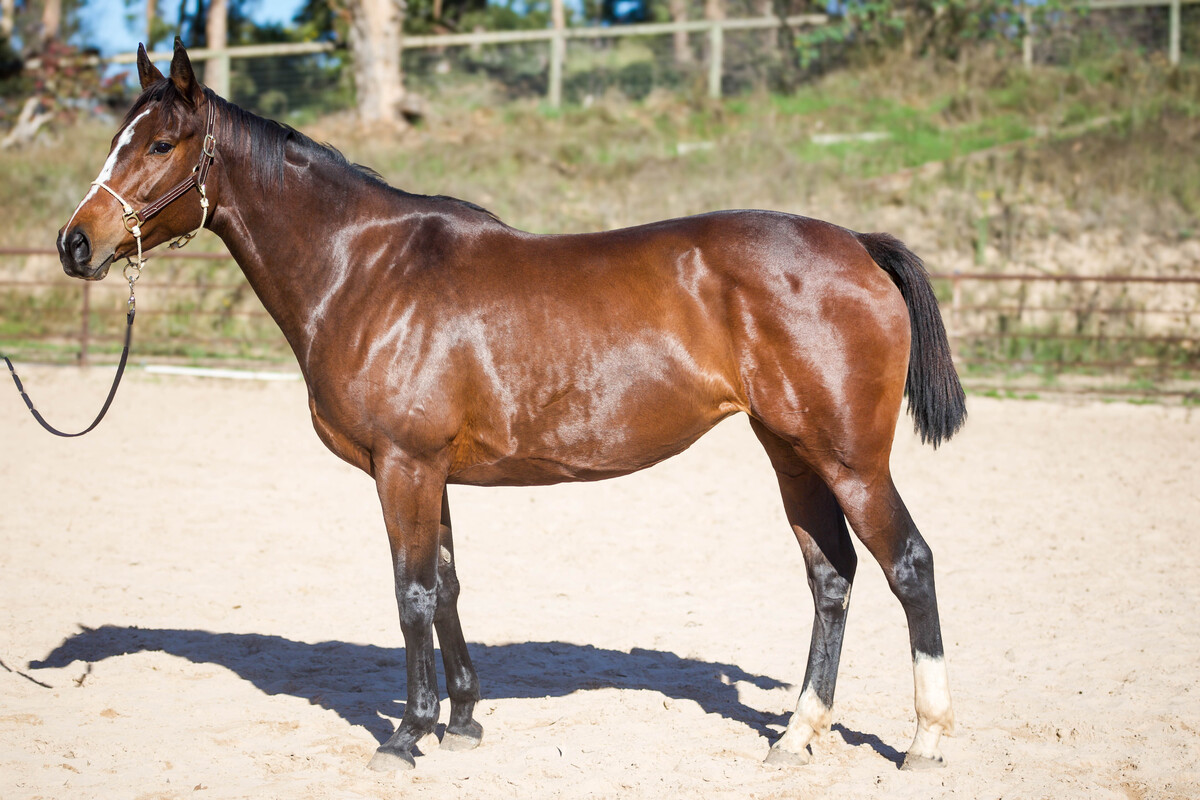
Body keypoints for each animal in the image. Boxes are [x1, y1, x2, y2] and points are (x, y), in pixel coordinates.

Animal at [56, 39, 966, 772]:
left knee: (910, 564)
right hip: (792, 453)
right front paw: (461, 720)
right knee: (832, 577)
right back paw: (797, 734)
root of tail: (856, 245)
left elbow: (411, 594)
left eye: (161, 143)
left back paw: (923, 741)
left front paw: (406, 734)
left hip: (851, 459)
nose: (75, 243)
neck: (364, 268)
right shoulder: (431, 474)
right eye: (115, 140)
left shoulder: (403, 467)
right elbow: (448, 586)